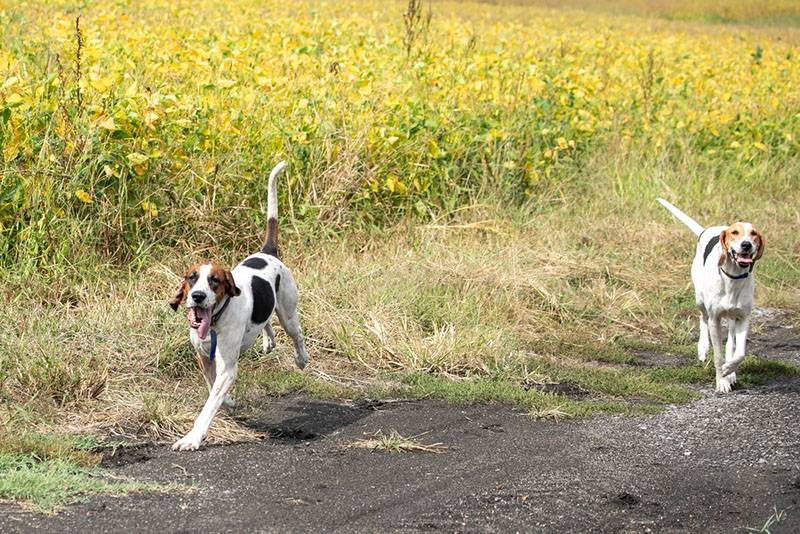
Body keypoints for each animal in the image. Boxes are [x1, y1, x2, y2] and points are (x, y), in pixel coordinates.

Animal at [167, 163, 308, 452]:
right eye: (191, 277)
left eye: (215, 280)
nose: (198, 296)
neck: (215, 324)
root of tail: (268, 252)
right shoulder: (205, 360)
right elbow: (213, 387)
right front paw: (228, 400)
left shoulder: (227, 367)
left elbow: (208, 407)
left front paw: (192, 438)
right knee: (266, 321)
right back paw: (268, 340)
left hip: (288, 313)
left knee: (297, 334)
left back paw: (301, 358)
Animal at [660, 199, 764, 396]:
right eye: (735, 233)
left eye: (754, 233)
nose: (746, 245)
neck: (732, 278)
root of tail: (707, 230)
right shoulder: (715, 320)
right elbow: (717, 355)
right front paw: (721, 381)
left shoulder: (743, 317)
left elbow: (739, 353)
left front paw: (729, 370)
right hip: (700, 299)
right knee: (703, 319)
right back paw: (702, 349)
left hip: (732, 317)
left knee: (731, 341)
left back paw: (731, 371)